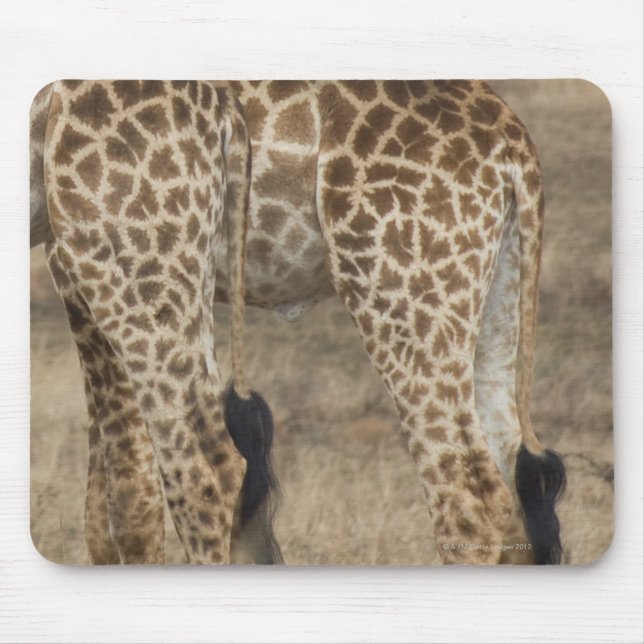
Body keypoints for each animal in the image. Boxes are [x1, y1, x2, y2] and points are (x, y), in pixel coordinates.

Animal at [30, 80, 566, 565]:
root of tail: (513, 142)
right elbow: (110, 509)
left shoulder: (76, 258)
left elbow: (125, 501)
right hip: (494, 297)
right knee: (515, 487)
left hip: (387, 290)